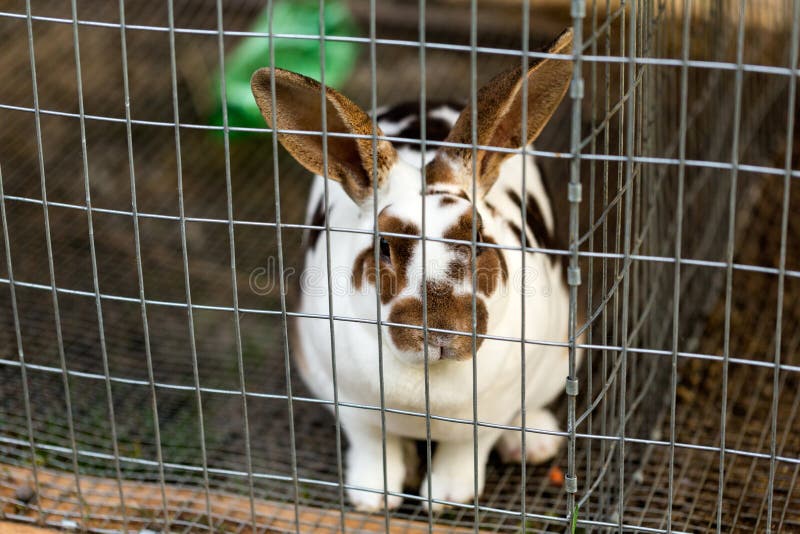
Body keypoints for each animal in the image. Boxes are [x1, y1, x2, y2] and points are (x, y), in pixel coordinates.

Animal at [251, 28, 582, 512]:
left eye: (477, 237)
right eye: (384, 246)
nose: (440, 329)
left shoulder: (488, 415)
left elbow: (465, 451)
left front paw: (446, 498)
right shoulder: (352, 406)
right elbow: (374, 447)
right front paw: (374, 497)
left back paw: (534, 442)